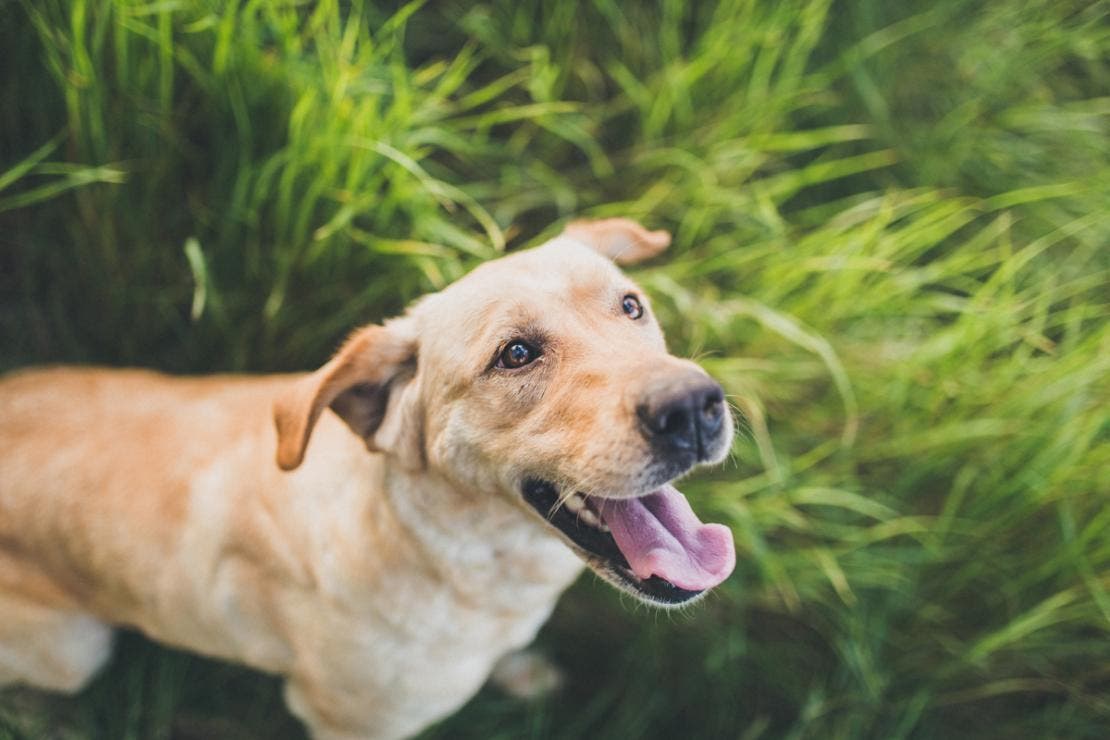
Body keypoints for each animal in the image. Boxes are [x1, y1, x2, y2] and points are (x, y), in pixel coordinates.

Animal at [2, 219, 737, 740]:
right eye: (515, 354)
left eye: (631, 307)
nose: (693, 409)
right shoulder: (349, 723)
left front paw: (522, 671)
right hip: (77, 651)